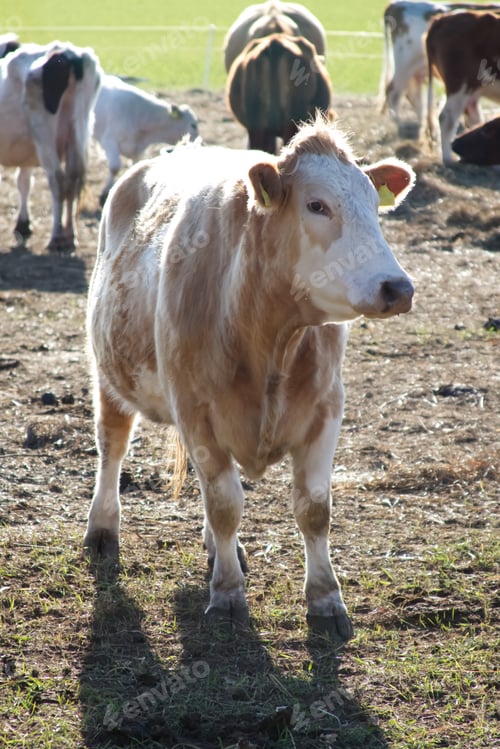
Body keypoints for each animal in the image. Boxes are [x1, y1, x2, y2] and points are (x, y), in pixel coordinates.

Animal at [0, 40, 102, 249]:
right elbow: (24, 182)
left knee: (57, 180)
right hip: (79, 128)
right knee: (72, 178)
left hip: (44, 133)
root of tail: (68, 55)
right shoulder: (27, 156)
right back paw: (70, 233)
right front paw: (23, 225)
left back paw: (56, 235)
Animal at [84, 114, 415, 639]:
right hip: (108, 372)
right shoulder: (196, 411)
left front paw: (326, 598)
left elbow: (313, 510)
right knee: (112, 446)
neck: (270, 338)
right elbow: (225, 505)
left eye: (373, 204)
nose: (397, 288)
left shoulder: (325, 409)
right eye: (317, 204)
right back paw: (102, 528)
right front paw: (227, 594)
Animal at [93, 74, 199, 205]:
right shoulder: (110, 141)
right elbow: (114, 167)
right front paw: (104, 193)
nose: (200, 143)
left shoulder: (137, 151)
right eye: (193, 125)